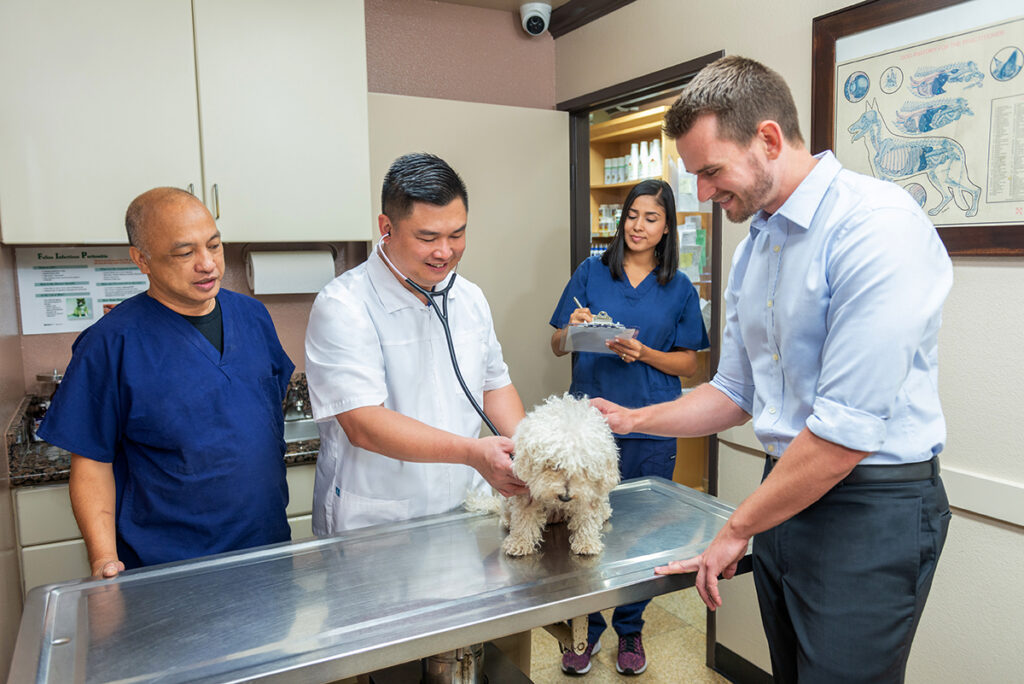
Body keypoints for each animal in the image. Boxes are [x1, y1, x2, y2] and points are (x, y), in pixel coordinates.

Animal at [499, 395, 618, 557]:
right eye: (554, 466)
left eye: (583, 468)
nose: (565, 497)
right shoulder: (526, 493)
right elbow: (524, 516)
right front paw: (519, 542)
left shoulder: (589, 493)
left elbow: (587, 516)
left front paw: (586, 543)